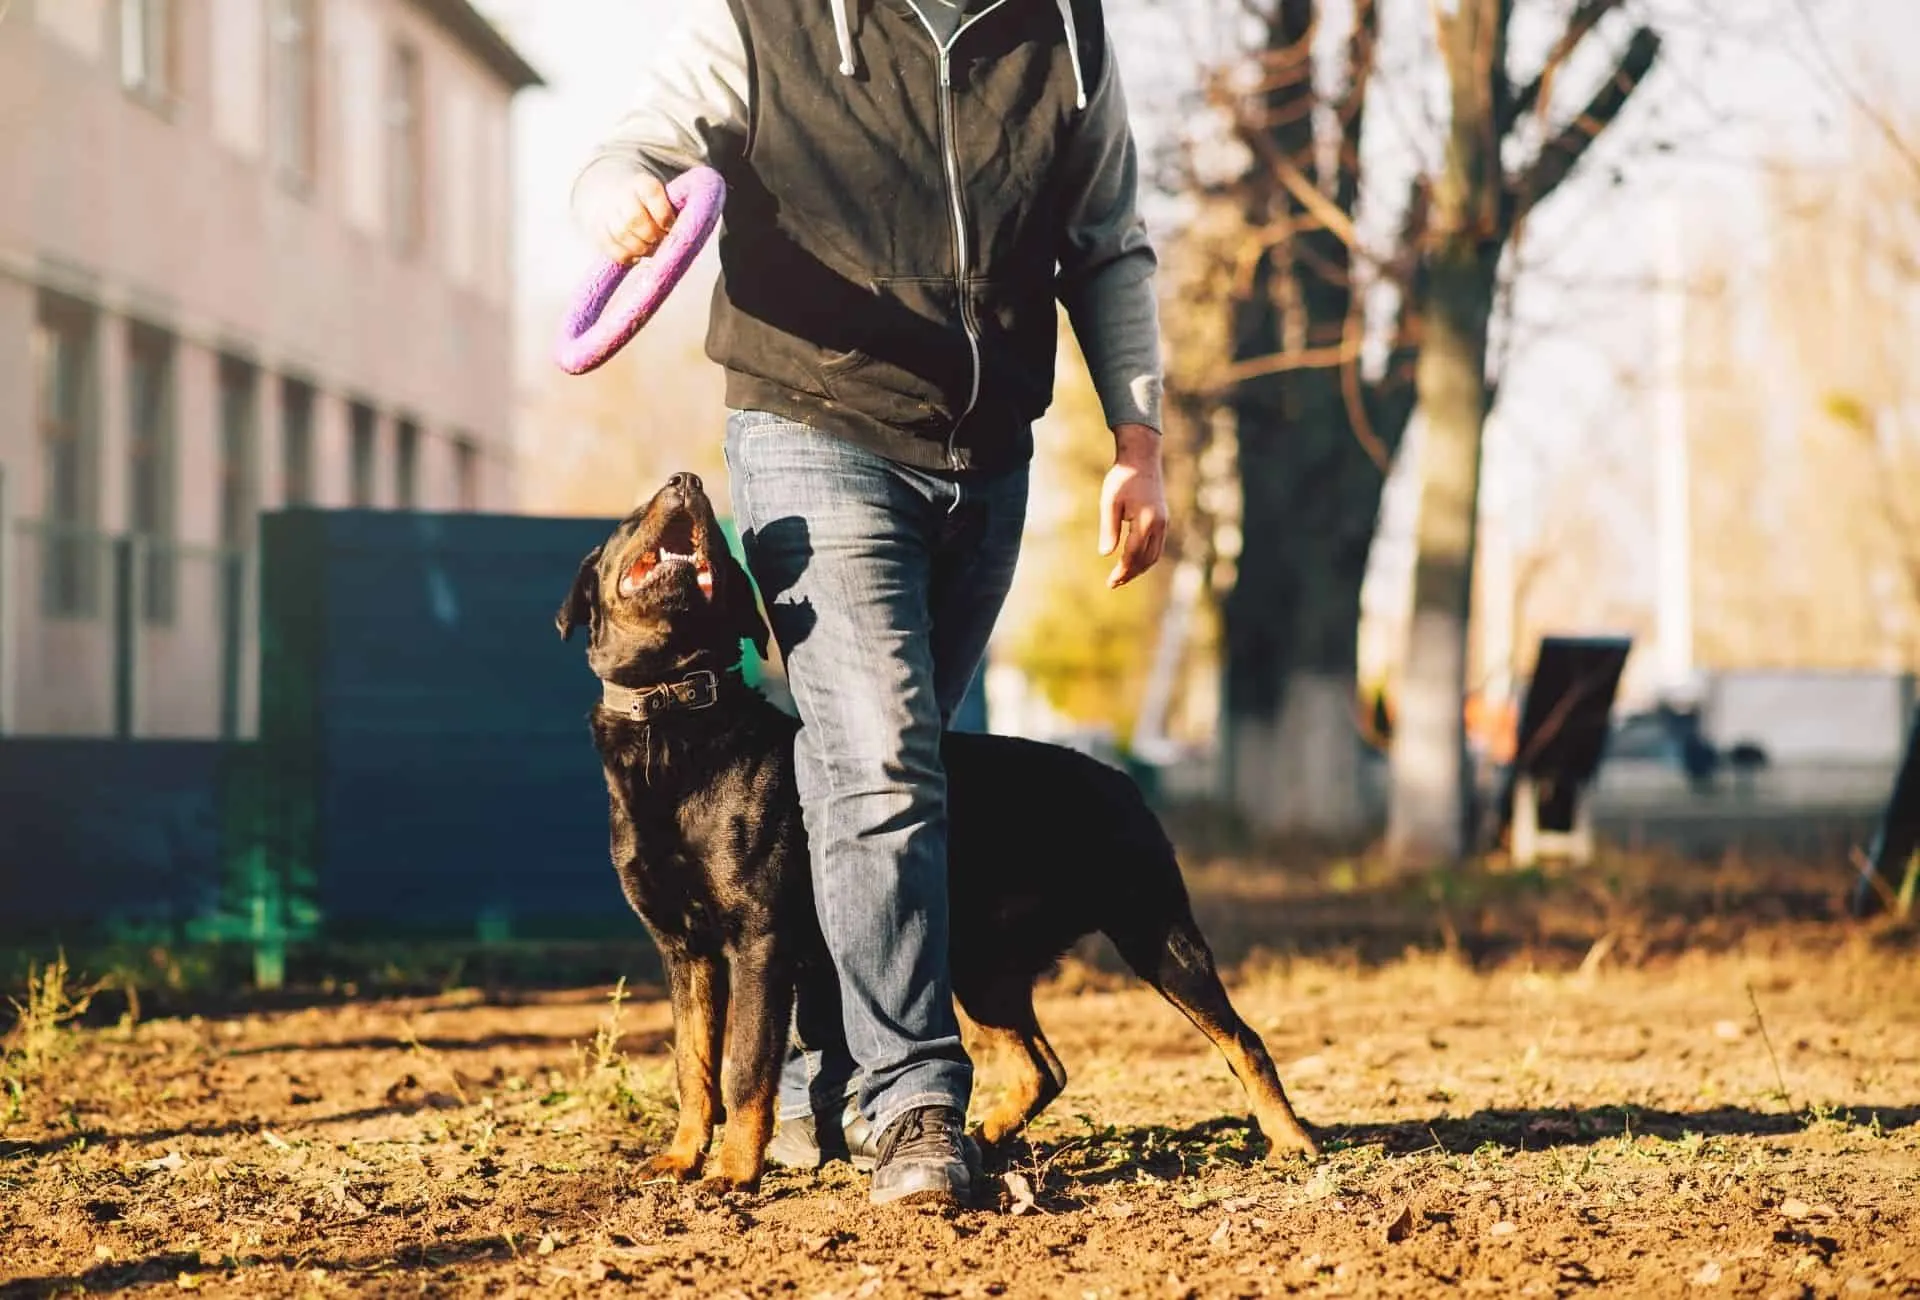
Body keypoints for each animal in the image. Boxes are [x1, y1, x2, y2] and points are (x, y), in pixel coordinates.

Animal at [556, 472, 1320, 1190]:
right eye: (631, 518)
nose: (687, 480)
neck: (675, 720)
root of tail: (1122, 778)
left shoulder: (758, 943)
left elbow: (744, 1069)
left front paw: (734, 1172)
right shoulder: (684, 951)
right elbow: (693, 1067)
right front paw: (682, 1157)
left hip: (1154, 933)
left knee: (1242, 1038)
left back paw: (1292, 1141)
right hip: (980, 965)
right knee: (1043, 1068)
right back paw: (979, 1140)